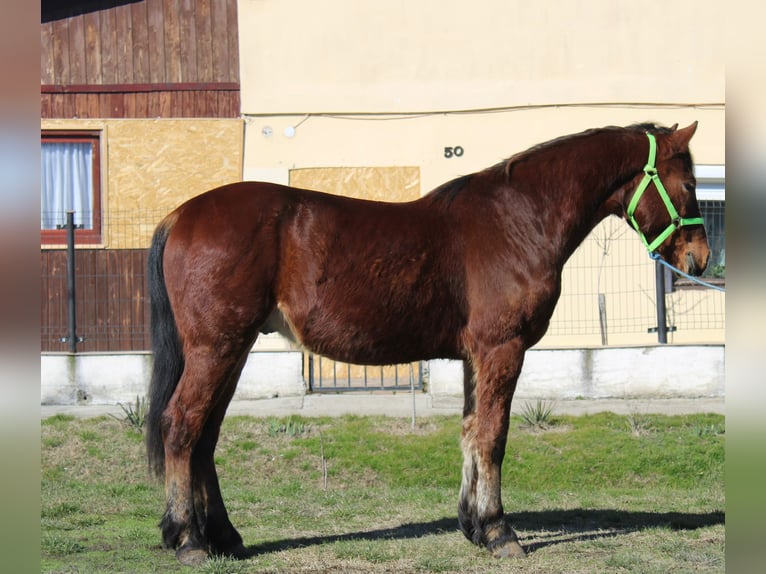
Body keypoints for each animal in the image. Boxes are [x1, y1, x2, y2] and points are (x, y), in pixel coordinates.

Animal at [145, 122, 709, 565]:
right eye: (688, 182)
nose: (700, 259)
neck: (519, 218)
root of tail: (180, 216)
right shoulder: (502, 349)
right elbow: (493, 436)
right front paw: (500, 531)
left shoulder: (475, 357)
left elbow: (470, 431)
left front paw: (473, 525)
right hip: (216, 348)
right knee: (182, 425)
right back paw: (188, 539)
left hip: (231, 350)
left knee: (205, 436)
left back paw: (224, 537)